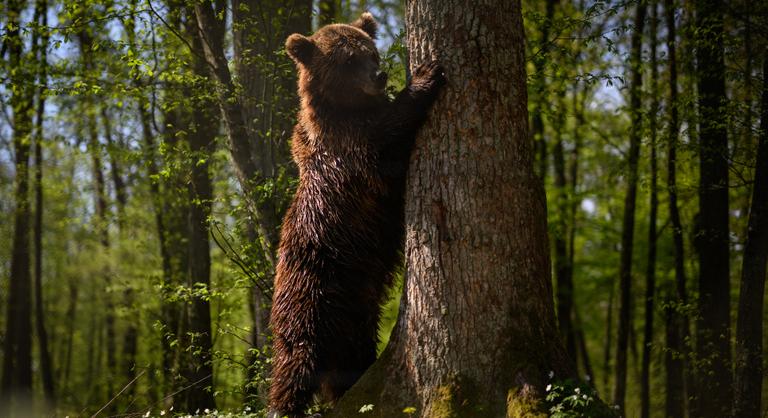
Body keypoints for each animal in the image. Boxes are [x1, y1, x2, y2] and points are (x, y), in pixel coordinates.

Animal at [268, 13, 444, 418]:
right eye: (348, 60)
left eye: (371, 52)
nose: (379, 75)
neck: (344, 111)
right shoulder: (350, 151)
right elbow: (386, 138)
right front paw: (425, 74)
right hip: (308, 294)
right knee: (294, 361)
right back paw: (284, 405)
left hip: (356, 315)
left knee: (351, 361)